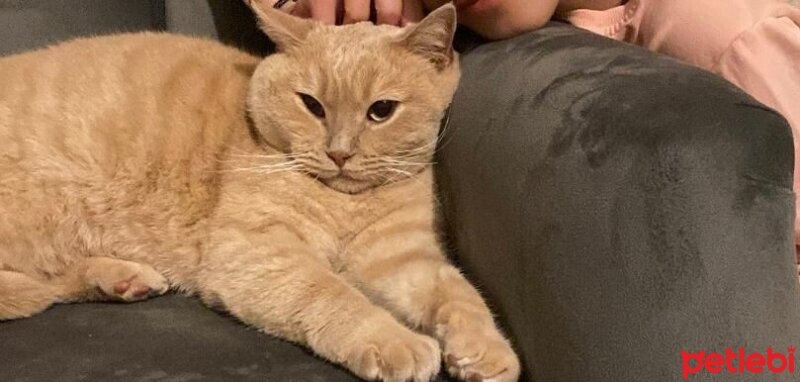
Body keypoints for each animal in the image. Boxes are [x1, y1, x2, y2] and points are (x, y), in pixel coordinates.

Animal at [0, 3, 520, 382]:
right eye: (311, 105)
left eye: (381, 111)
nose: (339, 153)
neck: (343, 202)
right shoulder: (257, 251)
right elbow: (333, 293)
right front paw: (395, 341)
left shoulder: (403, 259)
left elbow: (458, 293)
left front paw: (485, 349)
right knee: (33, 290)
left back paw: (121, 278)